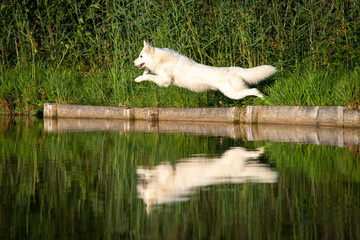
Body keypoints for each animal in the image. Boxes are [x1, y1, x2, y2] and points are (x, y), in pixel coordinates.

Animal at [134, 40, 278, 99]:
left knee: (254, 90)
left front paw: (138, 79)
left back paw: (263, 99)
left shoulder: (165, 82)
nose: (133, 62)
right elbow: (148, 73)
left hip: (233, 94)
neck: (161, 60)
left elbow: (148, 77)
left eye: (140, 56)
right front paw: (144, 72)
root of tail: (234, 69)